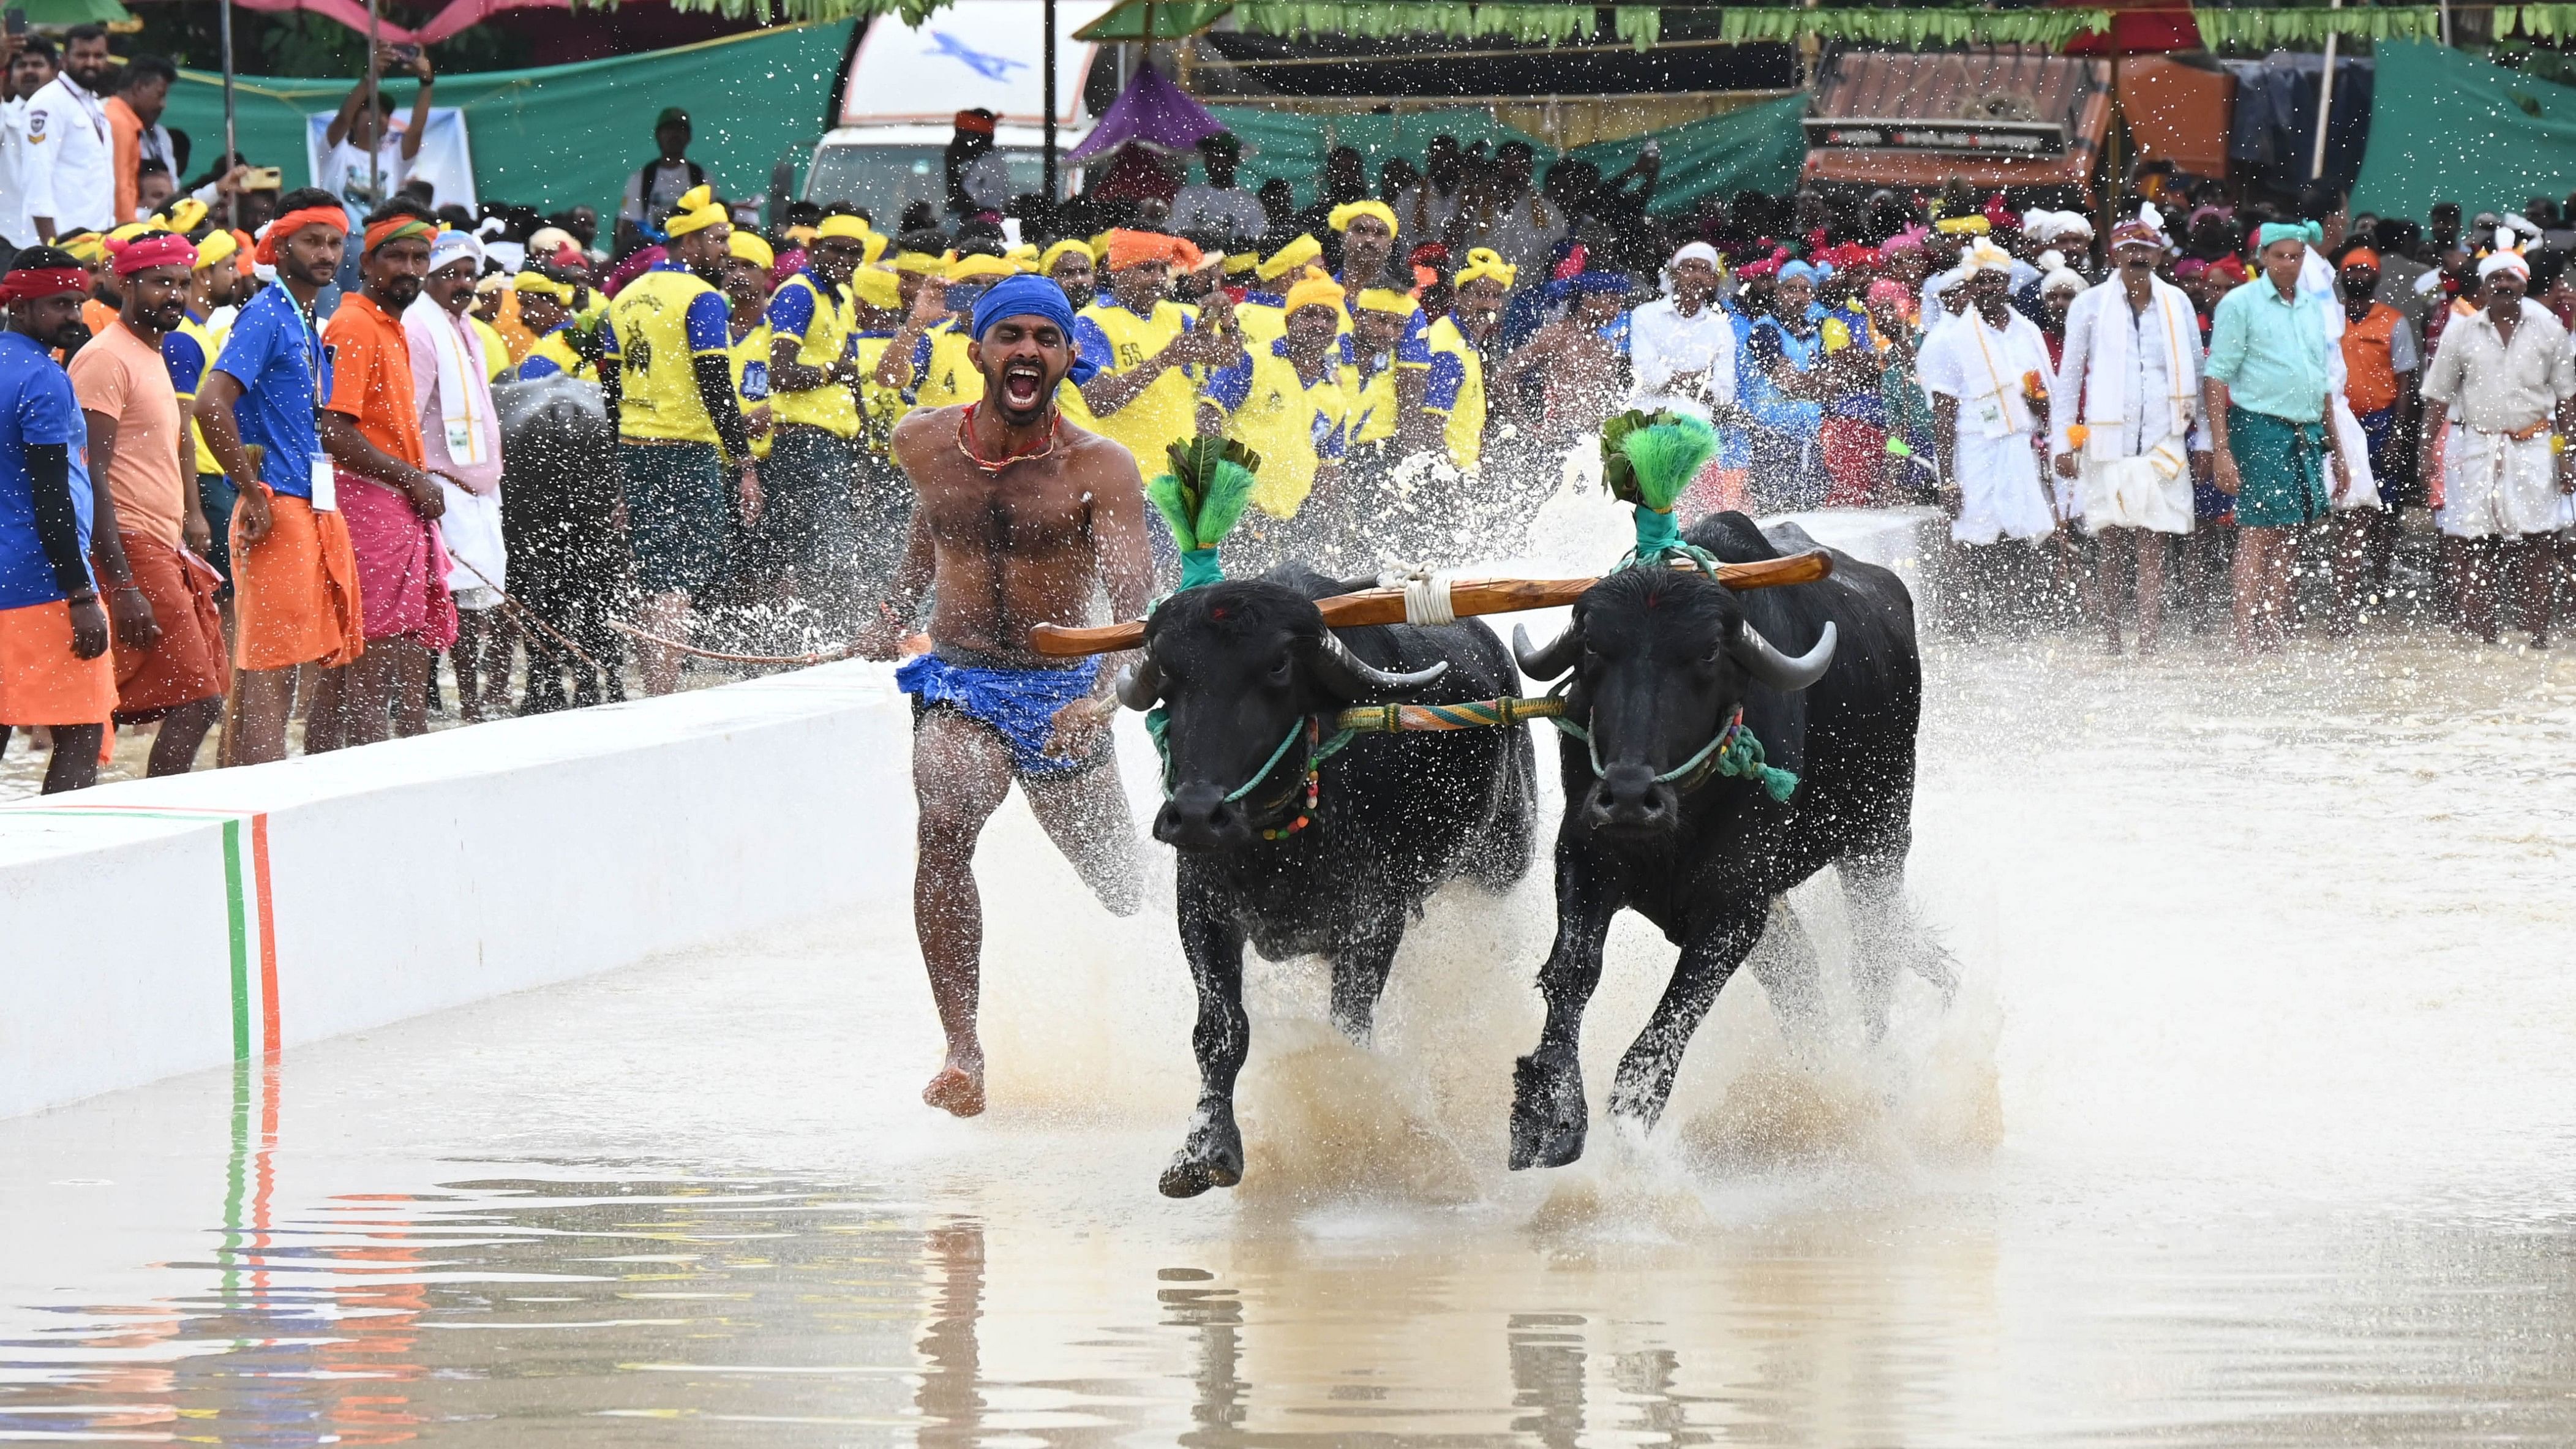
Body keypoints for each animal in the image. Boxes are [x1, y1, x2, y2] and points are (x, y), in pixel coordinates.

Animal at [1123, 567, 1525, 1196]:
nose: (1194, 814)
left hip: (1501, 864)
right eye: (1168, 671)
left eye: (1278, 665)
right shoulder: (1202, 908)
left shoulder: (1375, 918)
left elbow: (1347, 1032)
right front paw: (1204, 1148)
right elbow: (1220, 1030)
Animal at [1504, 508, 1937, 1160]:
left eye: (1707, 652)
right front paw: (1547, 1115)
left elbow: (1675, 1014)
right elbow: (1572, 972)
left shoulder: (1736, 906)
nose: (1628, 797)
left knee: (1873, 959)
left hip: (1879, 841)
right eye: (1594, 646)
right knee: (1799, 977)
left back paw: (1874, 1081)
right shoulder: (1581, 855)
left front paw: (1630, 1123)